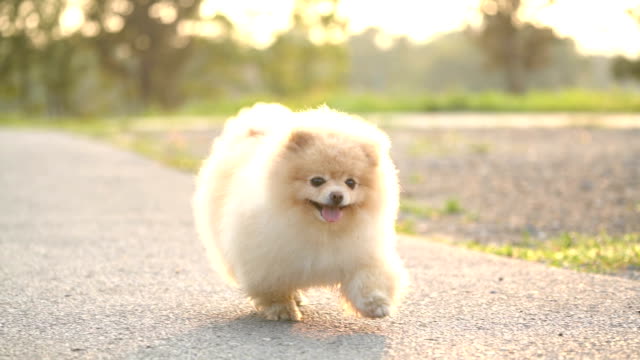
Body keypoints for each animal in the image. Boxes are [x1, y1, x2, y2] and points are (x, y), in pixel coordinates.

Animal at [192, 103, 408, 320]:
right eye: (317, 181)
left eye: (351, 183)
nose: (337, 195)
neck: (322, 230)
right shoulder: (268, 262)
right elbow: (274, 289)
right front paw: (283, 310)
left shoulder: (361, 254)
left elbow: (369, 279)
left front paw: (377, 305)